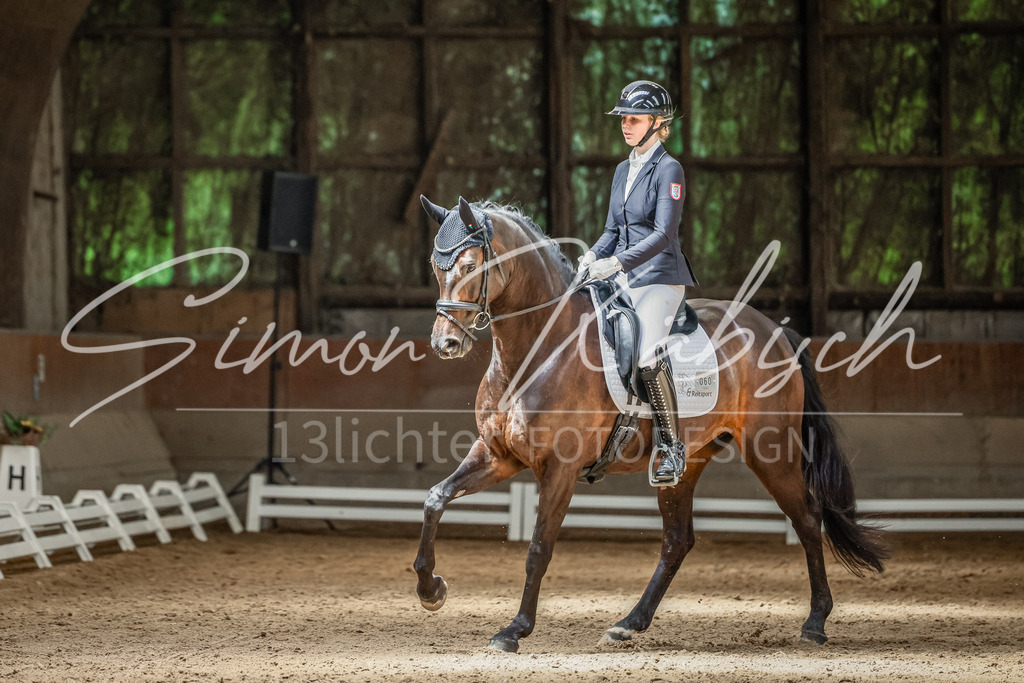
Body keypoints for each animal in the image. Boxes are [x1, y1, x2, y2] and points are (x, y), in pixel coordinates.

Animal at [413, 196, 888, 653]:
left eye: (470, 266)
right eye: (437, 268)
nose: (445, 343)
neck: (539, 349)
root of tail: (775, 331)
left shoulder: (560, 469)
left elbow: (539, 548)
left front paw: (514, 630)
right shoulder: (498, 456)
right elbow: (436, 498)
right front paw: (430, 589)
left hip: (772, 451)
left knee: (807, 519)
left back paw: (815, 623)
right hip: (688, 462)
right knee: (678, 540)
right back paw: (629, 623)